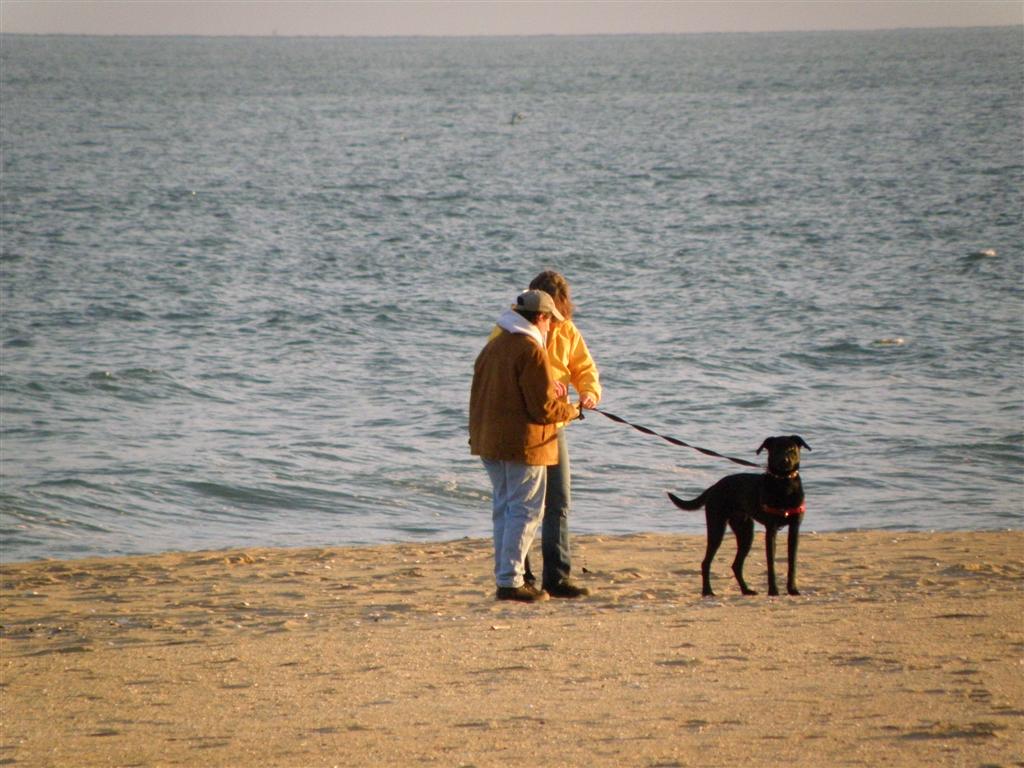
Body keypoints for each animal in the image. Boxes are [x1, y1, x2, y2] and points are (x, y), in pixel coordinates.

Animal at [667, 436, 811, 598]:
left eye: (791, 448)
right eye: (776, 449)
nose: (784, 461)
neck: (784, 483)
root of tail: (714, 487)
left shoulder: (794, 529)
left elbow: (792, 563)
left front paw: (793, 589)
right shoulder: (771, 530)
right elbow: (771, 564)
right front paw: (773, 591)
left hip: (745, 531)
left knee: (736, 565)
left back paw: (746, 590)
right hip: (717, 527)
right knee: (706, 562)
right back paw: (707, 591)